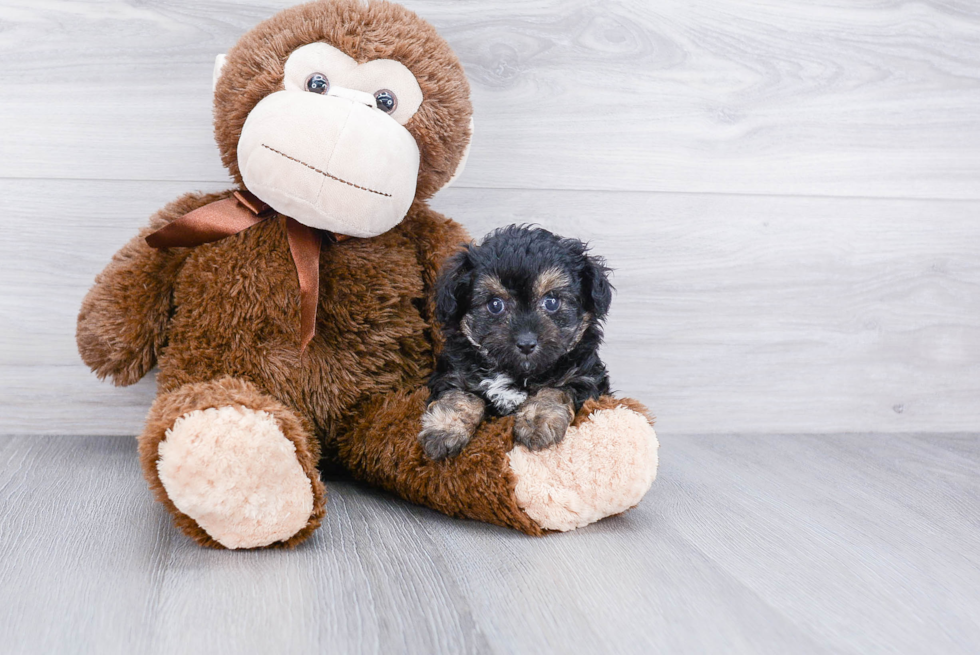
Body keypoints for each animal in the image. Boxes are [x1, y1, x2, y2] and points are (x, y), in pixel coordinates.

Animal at [420, 226, 612, 462]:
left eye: (552, 301)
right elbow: (459, 395)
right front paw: (443, 429)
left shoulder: (585, 378)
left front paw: (537, 421)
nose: (526, 343)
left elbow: (554, 390)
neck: (515, 373)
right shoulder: (453, 373)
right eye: (495, 305)